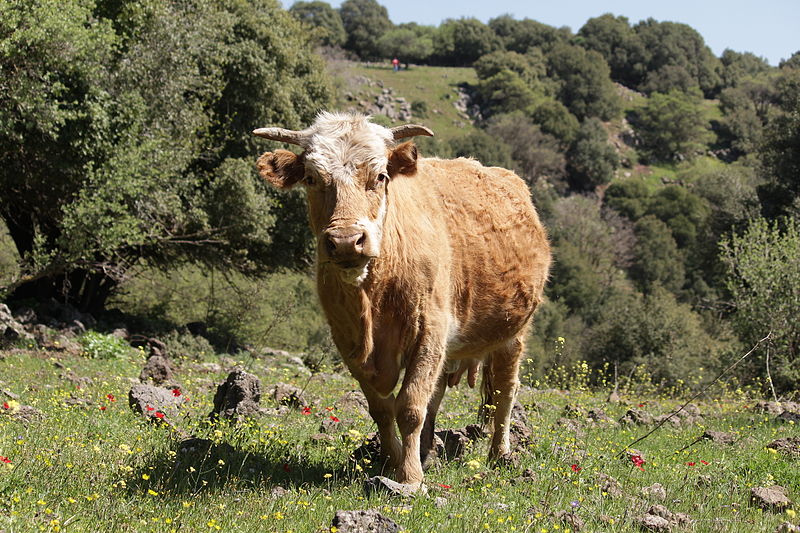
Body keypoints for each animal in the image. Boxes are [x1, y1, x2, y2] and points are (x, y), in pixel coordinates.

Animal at [256, 113, 552, 486]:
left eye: (380, 176)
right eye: (311, 178)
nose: (346, 241)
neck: (373, 297)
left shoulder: (430, 331)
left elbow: (410, 406)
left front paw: (410, 478)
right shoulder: (348, 341)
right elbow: (382, 408)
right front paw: (391, 461)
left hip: (514, 333)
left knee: (504, 391)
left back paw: (500, 455)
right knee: (437, 396)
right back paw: (426, 452)